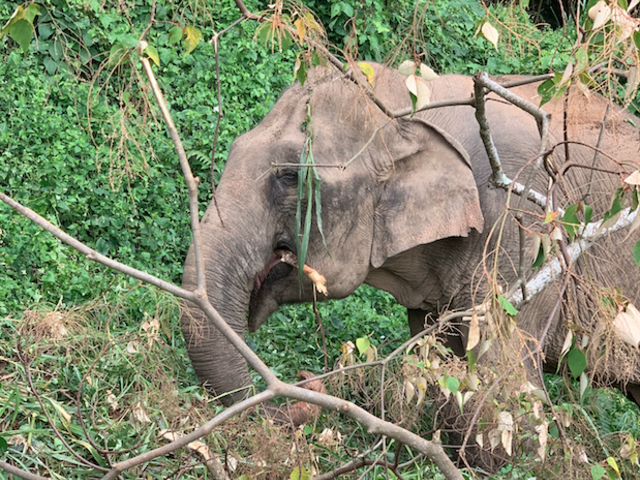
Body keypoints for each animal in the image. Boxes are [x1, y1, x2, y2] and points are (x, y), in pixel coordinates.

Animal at [181, 62, 640, 435]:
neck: (412, 102)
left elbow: (503, 382)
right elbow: (441, 364)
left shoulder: (524, 228)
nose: (306, 381)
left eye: (291, 175)